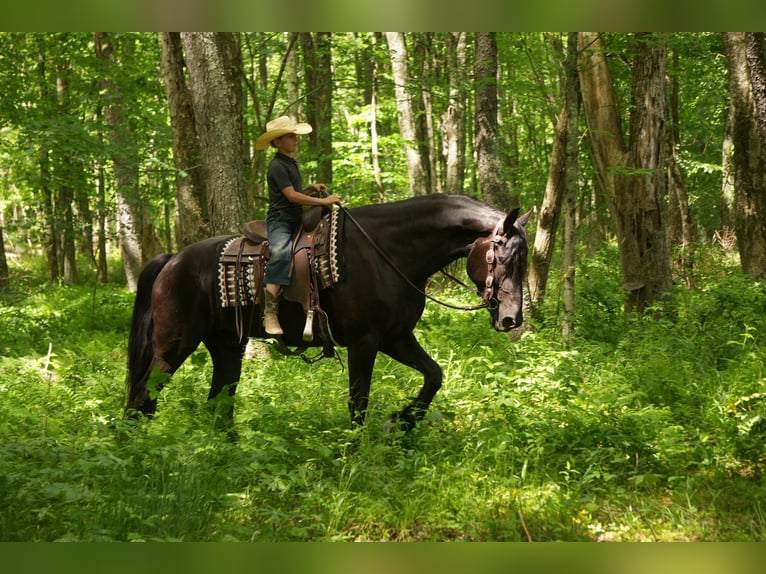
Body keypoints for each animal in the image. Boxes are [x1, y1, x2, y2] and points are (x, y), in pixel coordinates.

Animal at [126, 194, 530, 431]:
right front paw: (356, 456)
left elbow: (434, 376)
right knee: (143, 396)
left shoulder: (396, 338)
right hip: (174, 346)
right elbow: (358, 402)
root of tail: (171, 261)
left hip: (227, 346)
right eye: (504, 257)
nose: (512, 319)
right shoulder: (365, 342)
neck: (388, 251)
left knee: (219, 403)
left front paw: (401, 423)